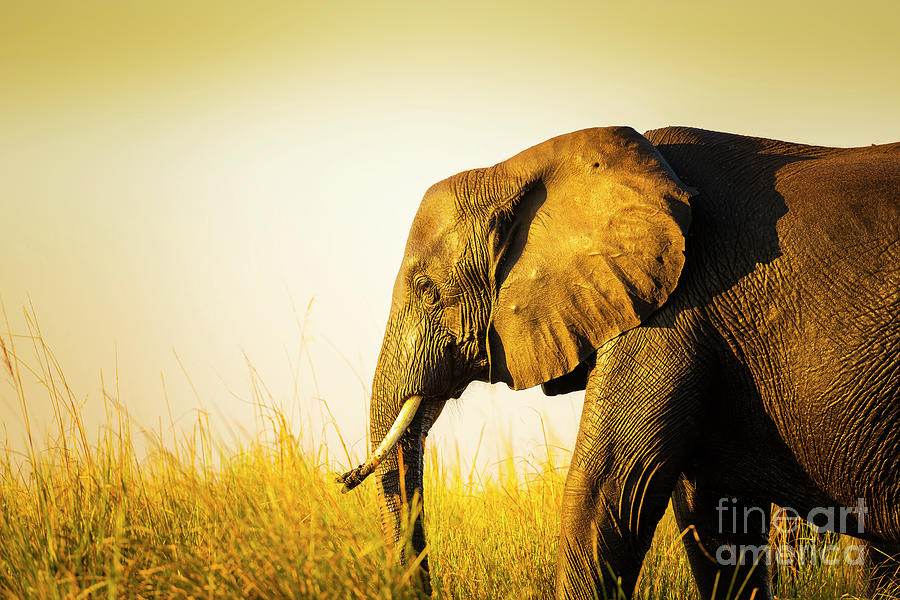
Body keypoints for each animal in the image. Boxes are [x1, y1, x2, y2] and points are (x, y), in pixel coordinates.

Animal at [338, 124, 900, 596]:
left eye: (428, 291)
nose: (342, 478)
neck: (525, 168)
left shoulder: (675, 310)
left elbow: (603, 494)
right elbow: (712, 520)